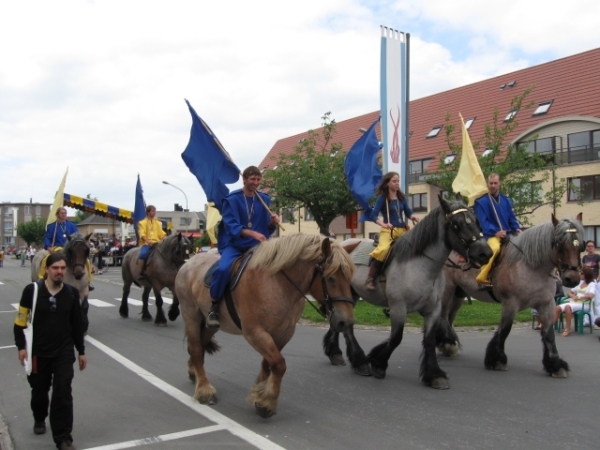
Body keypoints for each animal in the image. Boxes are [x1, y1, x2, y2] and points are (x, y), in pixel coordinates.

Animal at [176, 232, 356, 418]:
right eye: (331, 278)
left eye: (349, 277)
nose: (345, 322)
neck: (277, 284)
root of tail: (188, 263)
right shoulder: (255, 332)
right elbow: (279, 364)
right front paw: (267, 401)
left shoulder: (284, 333)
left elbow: (268, 364)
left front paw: (259, 393)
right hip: (191, 315)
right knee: (196, 349)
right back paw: (204, 390)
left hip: (210, 325)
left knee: (199, 345)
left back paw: (194, 373)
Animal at [322, 195, 490, 388]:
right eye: (456, 224)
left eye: (476, 221)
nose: (485, 253)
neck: (420, 266)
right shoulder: (398, 308)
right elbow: (396, 338)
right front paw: (378, 364)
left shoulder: (433, 310)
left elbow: (429, 340)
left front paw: (434, 375)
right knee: (346, 326)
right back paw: (358, 361)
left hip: (350, 295)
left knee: (341, 323)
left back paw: (338, 354)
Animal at [438, 216, 584, 378]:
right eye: (559, 244)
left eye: (581, 245)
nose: (572, 279)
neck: (530, 267)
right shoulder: (510, 303)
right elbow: (505, 329)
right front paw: (497, 360)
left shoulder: (546, 304)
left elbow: (548, 333)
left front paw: (555, 364)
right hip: (447, 292)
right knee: (443, 316)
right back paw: (448, 344)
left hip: (459, 294)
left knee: (450, 317)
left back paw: (447, 344)